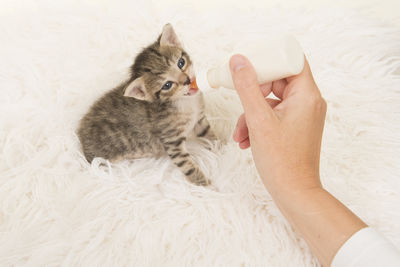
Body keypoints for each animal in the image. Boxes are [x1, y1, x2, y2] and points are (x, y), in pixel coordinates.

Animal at [77, 23, 216, 186]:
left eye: (181, 63)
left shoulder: (199, 119)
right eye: (167, 85)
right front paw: (204, 184)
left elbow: (208, 134)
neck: (186, 103)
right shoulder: (172, 142)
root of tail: (80, 133)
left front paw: (223, 148)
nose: (187, 80)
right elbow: (187, 165)